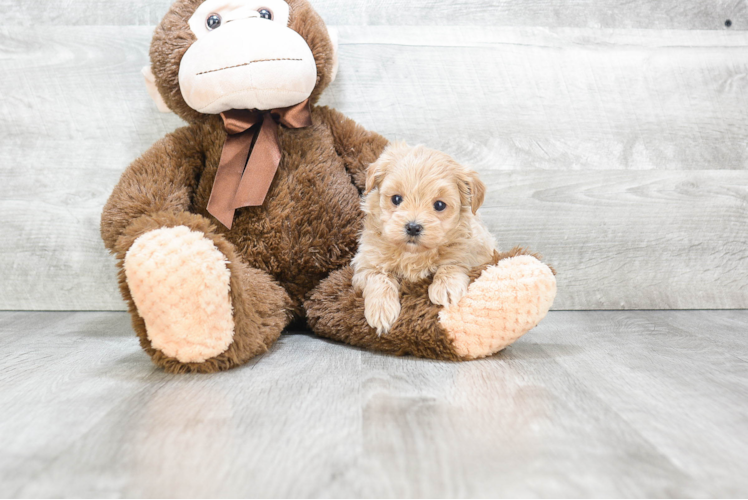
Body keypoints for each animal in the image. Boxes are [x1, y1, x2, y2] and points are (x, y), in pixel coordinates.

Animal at [352, 143, 496, 334]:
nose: (413, 227)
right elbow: (378, 277)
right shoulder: (366, 262)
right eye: (396, 199)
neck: (413, 254)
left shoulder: (477, 249)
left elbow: (453, 262)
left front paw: (446, 287)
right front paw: (381, 309)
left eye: (439, 205)